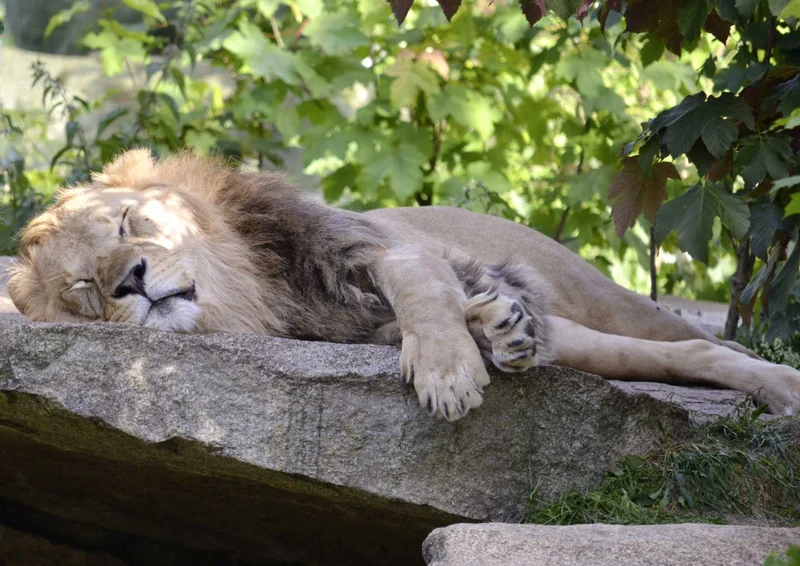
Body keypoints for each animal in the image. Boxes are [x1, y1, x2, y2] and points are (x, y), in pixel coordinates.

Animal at [7, 149, 800, 420]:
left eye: (127, 224)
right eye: (84, 287)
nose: (133, 282)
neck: (252, 292)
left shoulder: (374, 247)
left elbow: (421, 286)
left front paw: (449, 370)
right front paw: (493, 329)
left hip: (607, 299)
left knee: (693, 339)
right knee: (688, 355)